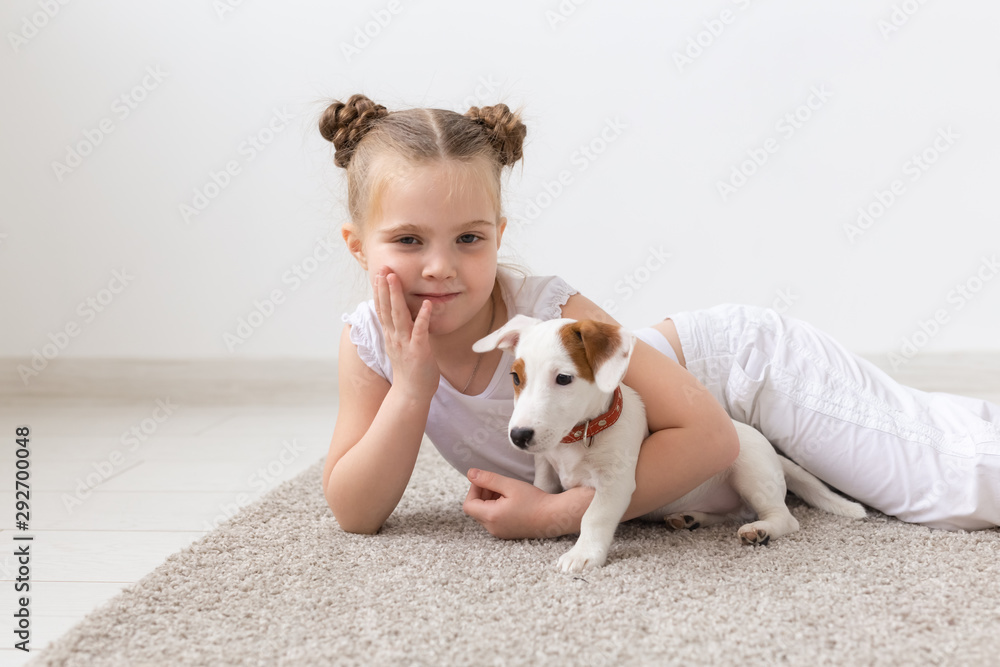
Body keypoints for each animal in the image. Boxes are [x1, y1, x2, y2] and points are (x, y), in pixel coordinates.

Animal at [472, 316, 864, 572]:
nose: (519, 436)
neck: (578, 436)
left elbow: (594, 515)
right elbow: (543, 488)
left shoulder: (615, 482)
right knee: (730, 512)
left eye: (564, 379)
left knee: (783, 517)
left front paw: (585, 554)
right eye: (516, 377)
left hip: (750, 471)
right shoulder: (546, 466)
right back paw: (691, 518)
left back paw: (761, 530)